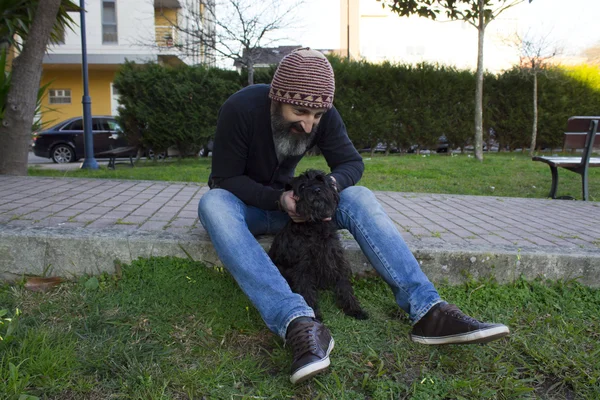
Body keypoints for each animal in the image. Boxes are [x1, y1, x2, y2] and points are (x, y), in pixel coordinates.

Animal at [270, 170, 368, 320]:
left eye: (321, 180)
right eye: (302, 186)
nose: (316, 190)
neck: (316, 226)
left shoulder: (335, 258)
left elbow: (344, 285)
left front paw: (354, 309)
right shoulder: (302, 267)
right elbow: (306, 291)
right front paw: (314, 315)